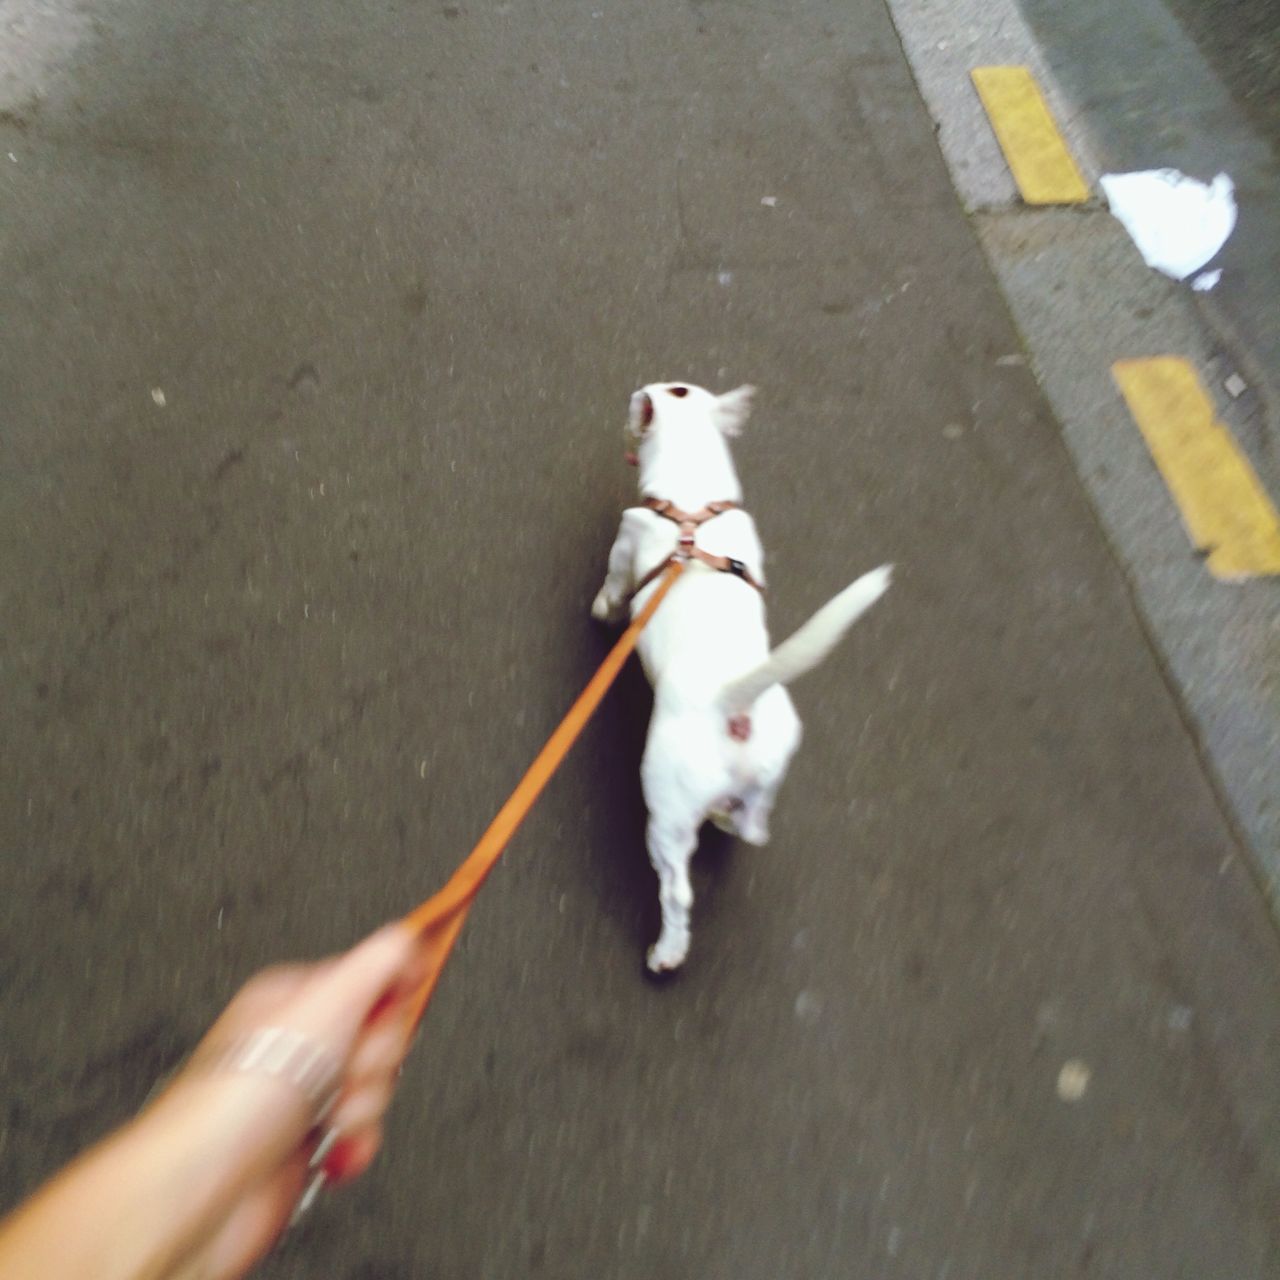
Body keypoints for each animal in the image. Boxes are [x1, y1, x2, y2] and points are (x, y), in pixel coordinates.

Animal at [591, 378, 885, 967]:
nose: (632, 400)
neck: (691, 508)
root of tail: (735, 702)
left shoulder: (627, 537)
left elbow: (613, 584)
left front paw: (602, 611)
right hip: (764, 780)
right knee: (752, 826)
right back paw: (728, 818)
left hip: (666, 810)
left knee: (677, 889)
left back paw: (666, 952)